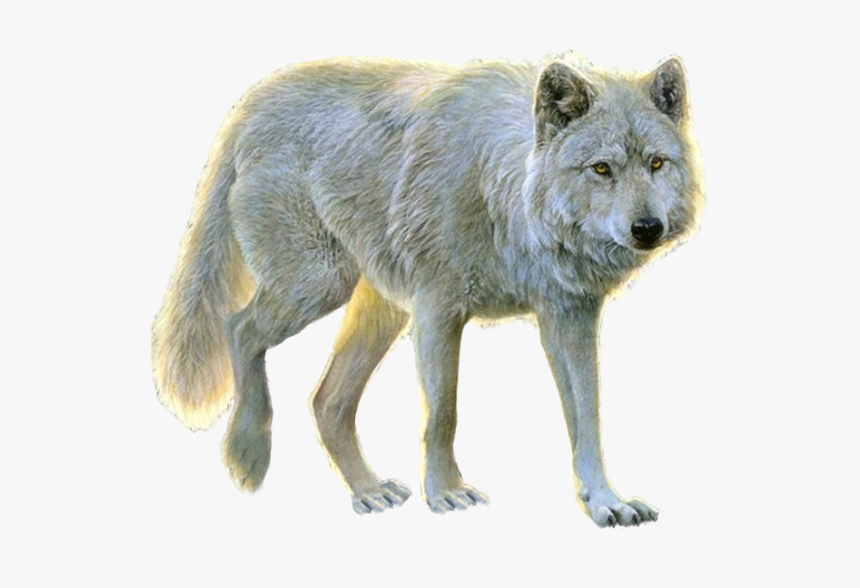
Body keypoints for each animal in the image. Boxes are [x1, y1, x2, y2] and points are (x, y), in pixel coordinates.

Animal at [152, 54, 704, 527]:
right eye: (602, 169)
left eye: (656, 164)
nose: (647, 228)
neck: (502, 192)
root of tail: (255, 100)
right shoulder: (439, 309)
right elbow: (444, 413)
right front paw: (445, 492)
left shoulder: (569, 316)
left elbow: (587, 417)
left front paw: (606, 502)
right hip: (317, 285)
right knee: (238, 328)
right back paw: (248, 453)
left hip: (378, 312)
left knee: (326, 401)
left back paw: (368, 490)